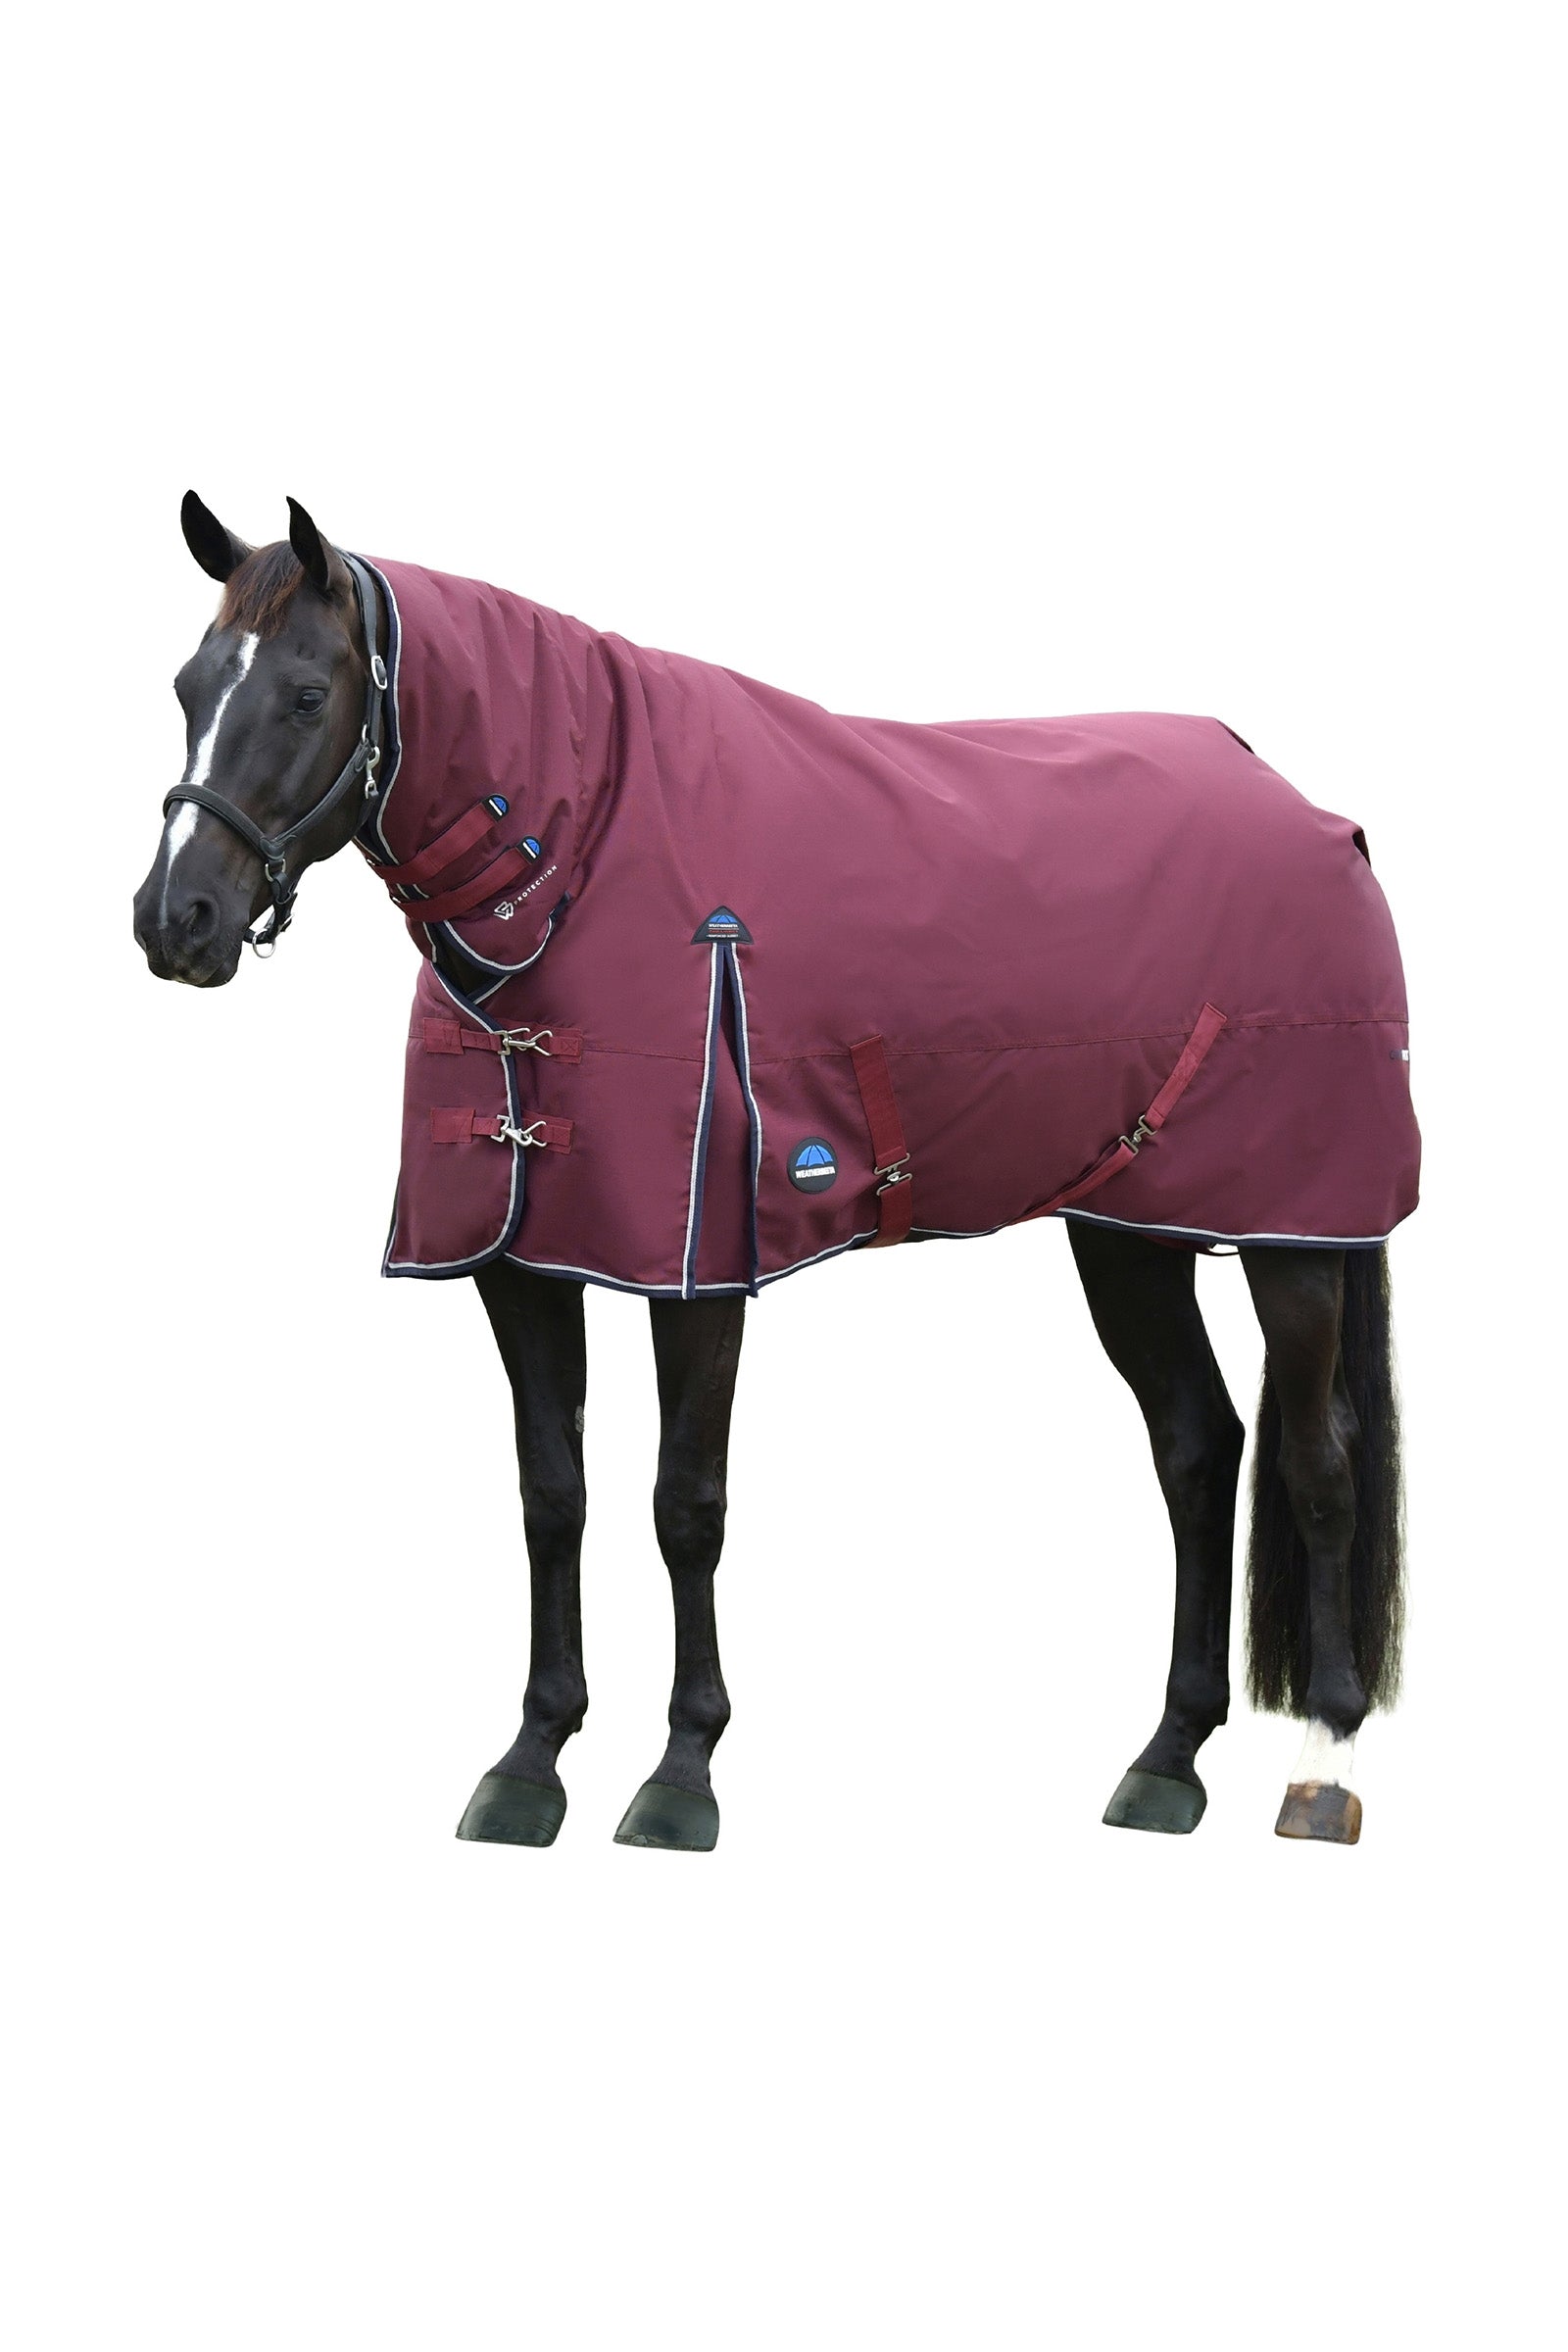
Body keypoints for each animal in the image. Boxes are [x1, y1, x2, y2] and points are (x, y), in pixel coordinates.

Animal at [133, 492, 1414, 1851]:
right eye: (189, 685)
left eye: (306, 694)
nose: (175, 921)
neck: (583, 857)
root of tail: (1307, 810)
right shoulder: (521, 1263)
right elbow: (552, 1497)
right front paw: (531, 1761)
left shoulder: (695, 1271)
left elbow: (683, 1506)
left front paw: (679, 1773)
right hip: (1128, 1227)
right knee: (1196, 1447)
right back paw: (1167, 1759)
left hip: (1292, 1236)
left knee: (1317, 1463)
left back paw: (1324, 1764)